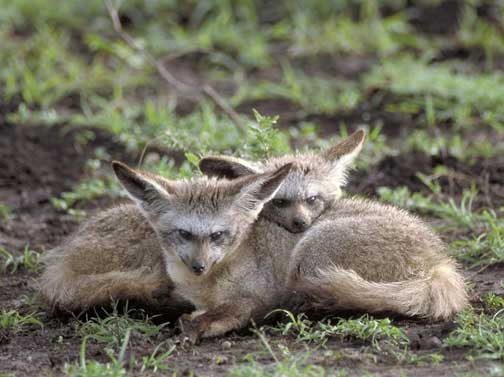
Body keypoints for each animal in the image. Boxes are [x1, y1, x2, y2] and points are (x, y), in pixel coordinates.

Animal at [112, 148, 466, 342]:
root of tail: (441, 264)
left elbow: (234, 311)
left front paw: (202, 325)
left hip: (310, 252)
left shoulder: (259, 296)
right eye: (183, 234)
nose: (199, 266)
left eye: (218, 235)